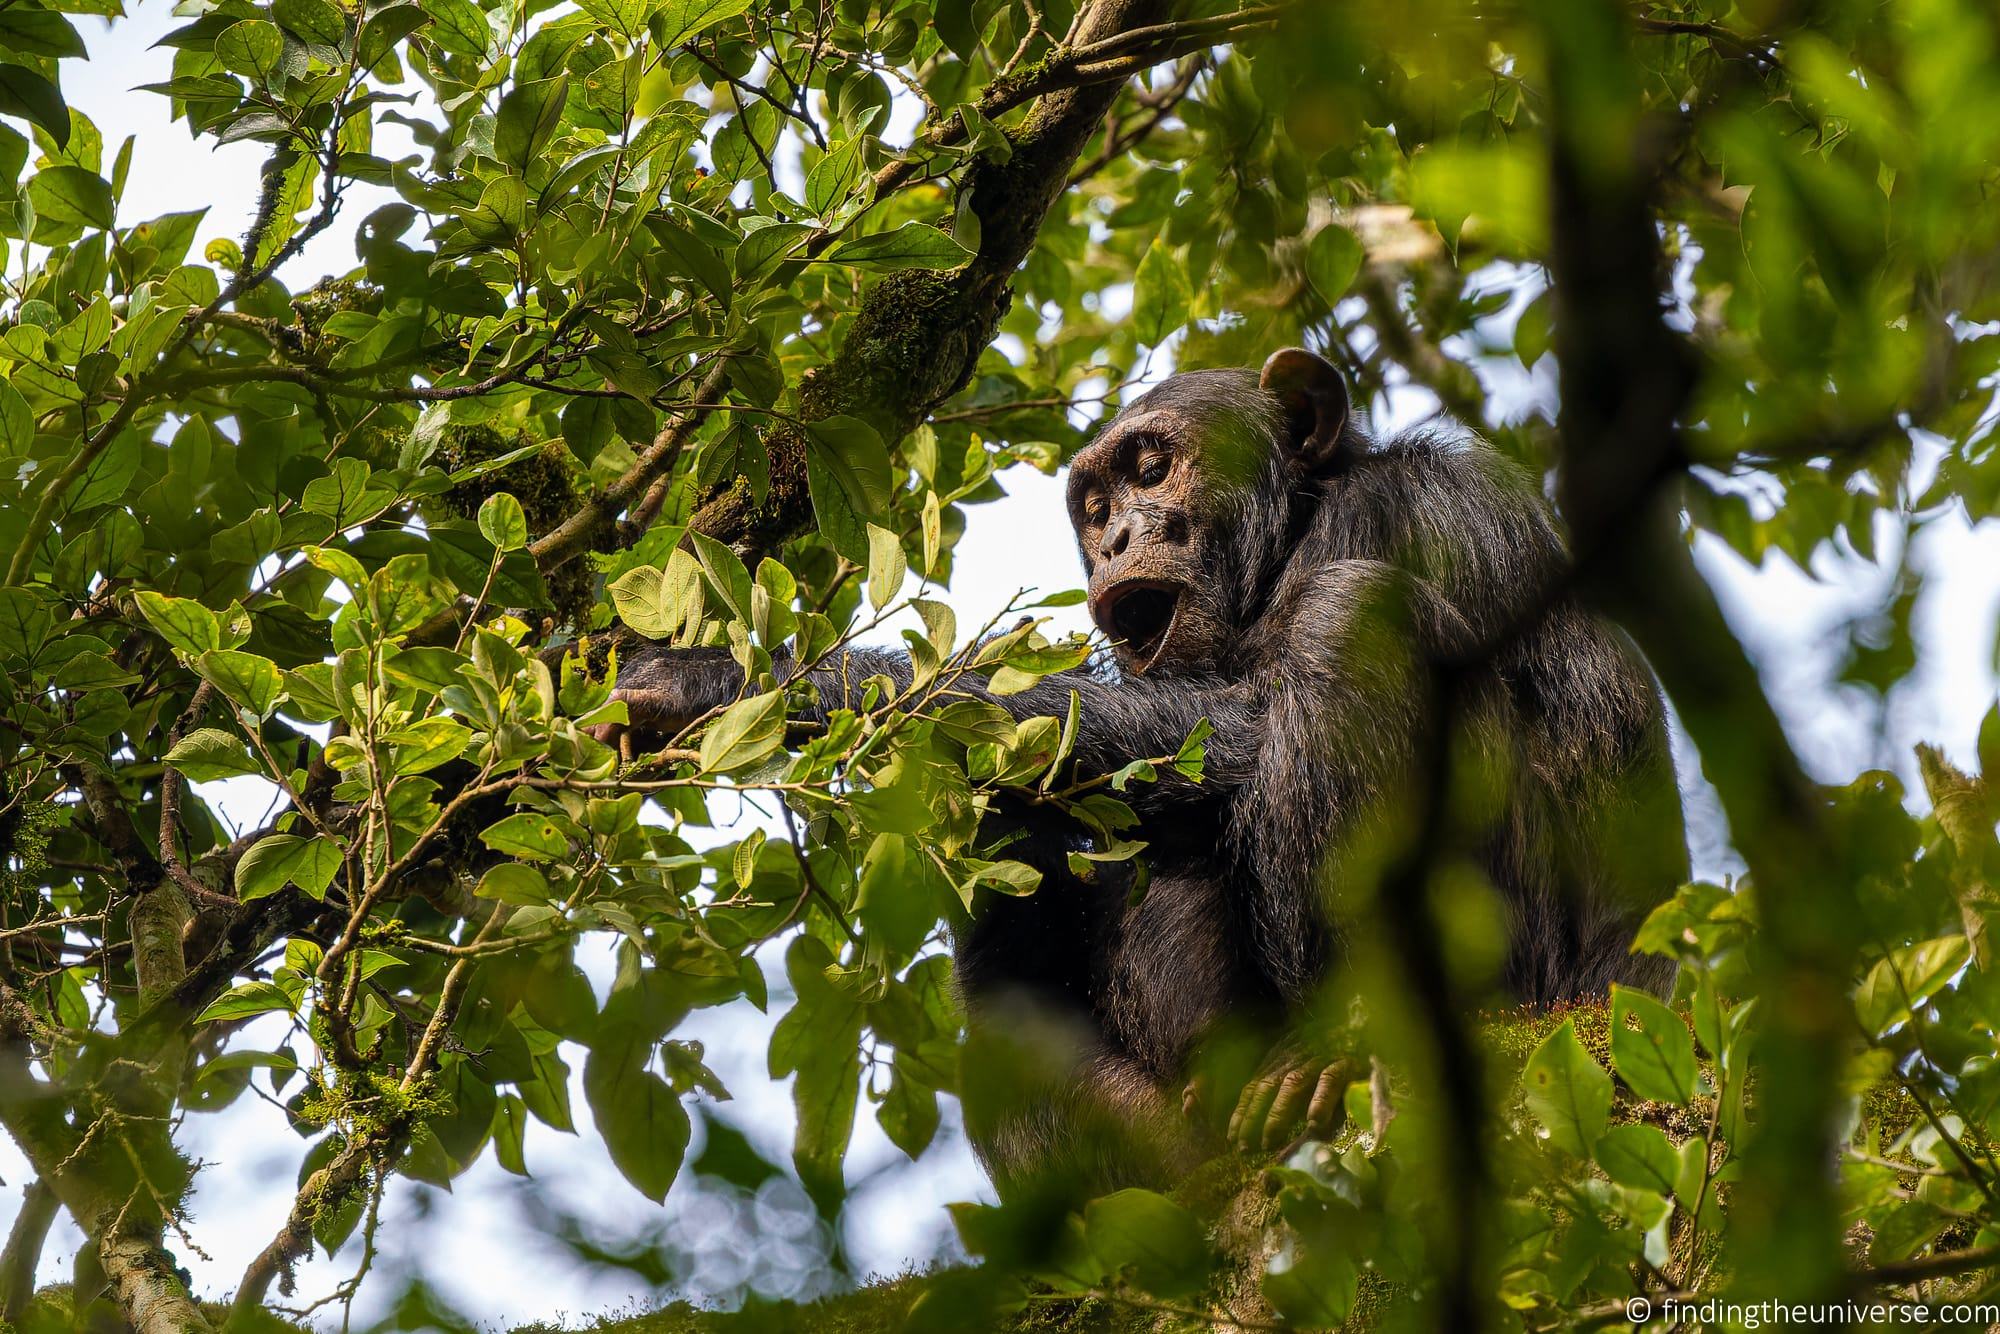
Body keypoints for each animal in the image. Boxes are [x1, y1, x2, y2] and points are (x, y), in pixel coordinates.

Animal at [596, 350, 1688, 1192]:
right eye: (1093, 503)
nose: (1117, 534)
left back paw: (1341, 1048)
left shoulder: (1413, 512)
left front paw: (728, 682)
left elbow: (1240, 721)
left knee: (1353, 621)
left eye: (1154, 465)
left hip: (1522, 991)